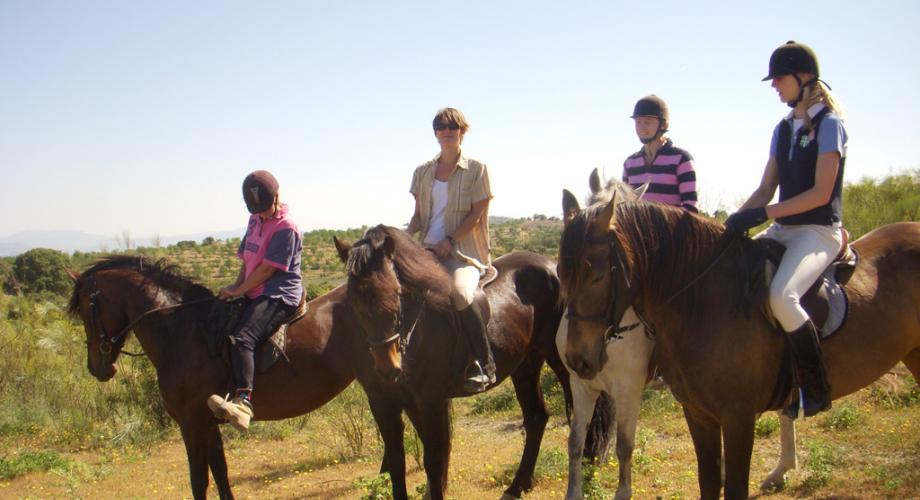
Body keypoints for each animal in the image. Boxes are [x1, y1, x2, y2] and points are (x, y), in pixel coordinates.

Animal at [66, 256, 362, 498]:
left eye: (86, 310)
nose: (97, 368)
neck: (182, 332)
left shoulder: (192, 423)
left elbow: (199, 481)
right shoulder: (208, 423)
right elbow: (220, 475)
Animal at [332, 227, 612, 500]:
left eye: (396, 293)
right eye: (353, 300)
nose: (388, 367)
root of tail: (553, 267)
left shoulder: (430, 400)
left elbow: (434, 459)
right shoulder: (384, 403)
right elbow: (396, 461)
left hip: (564, 364)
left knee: (584, 417)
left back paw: (587, 475)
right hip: (526, 365)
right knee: (536, 418)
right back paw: (518, 485)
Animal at [556, 182, 920, 498]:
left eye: (596, 276)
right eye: (560, 273)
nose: (578, 358)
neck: (703, 301)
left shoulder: (734, 417)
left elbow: (630, 448)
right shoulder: (696, 412)